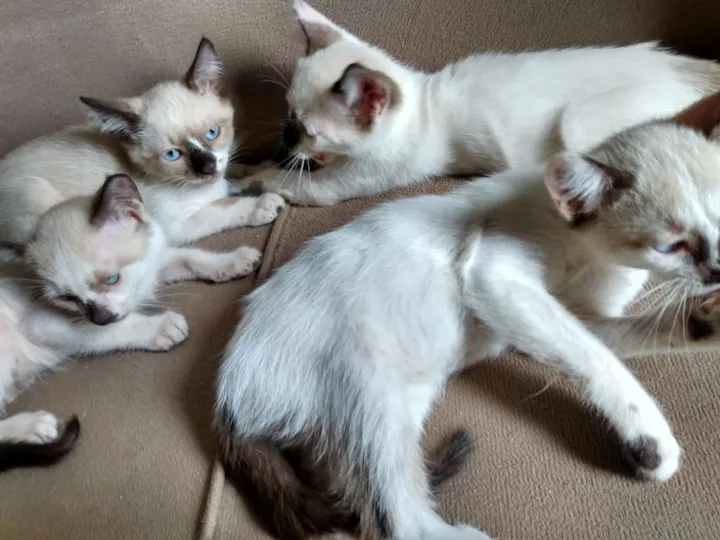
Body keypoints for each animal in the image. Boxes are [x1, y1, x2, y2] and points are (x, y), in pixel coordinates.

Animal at [0, 37, 284, 256]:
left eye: (213, 133)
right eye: (172, 154)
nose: (207, 169)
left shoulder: (223, 171)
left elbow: (242, 175)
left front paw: (263, 170)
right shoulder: (178, 225)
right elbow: (224, 206)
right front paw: (263, 205)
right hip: (36, 193)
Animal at [0, 173, 261, 471]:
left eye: (111, 279)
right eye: (67, 298)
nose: (100, 317)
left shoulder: (154, 263)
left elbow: (189, 257)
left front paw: (235, 261)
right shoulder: (46, 324)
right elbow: (112, 331)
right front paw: (162, 328)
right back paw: (33, 426)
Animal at [215, 90, 720, 539]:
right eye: (670, 245)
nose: (718, 269)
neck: (596, 258)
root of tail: (225, 399)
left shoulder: (582, 316)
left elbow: (617, 339)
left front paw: (706, 320)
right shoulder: (497, 277)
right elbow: (597, 359)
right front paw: (650, 437)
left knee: (354, 494)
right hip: (368, 385)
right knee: (395, 521)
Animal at [232, 0, 720, 206]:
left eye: (308, 131)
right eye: (289, 115)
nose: (287, 138)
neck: (424, 104)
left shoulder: (351, 181)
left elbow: (289, 182)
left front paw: (251, 179)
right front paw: (244, 167)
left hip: (579, 123)